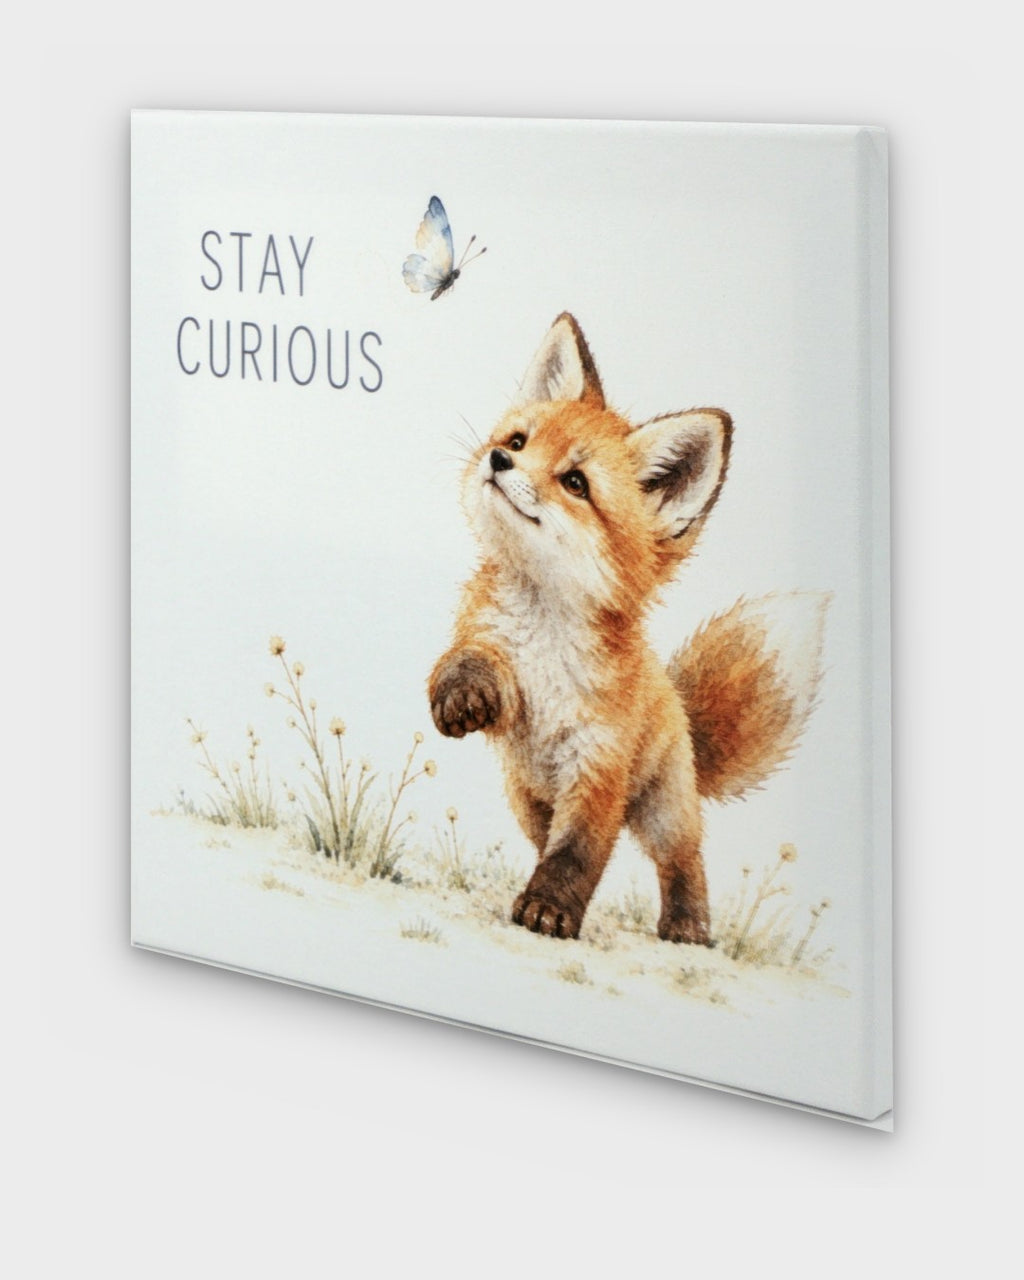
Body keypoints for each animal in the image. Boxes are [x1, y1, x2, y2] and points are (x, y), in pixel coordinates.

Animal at [428, 313, 828, 946]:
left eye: (575, 482)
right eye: (519, 442)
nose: (497, 461)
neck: (545, 630)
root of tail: (679, 707)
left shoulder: (598, 762)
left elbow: (577, 853)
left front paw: (549, 909)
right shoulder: (493, 652)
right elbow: (464, 661)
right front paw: (462, 696)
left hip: (664, 812)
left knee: (683, 861)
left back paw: (689, 926)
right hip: (527, 799)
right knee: (549, 840)